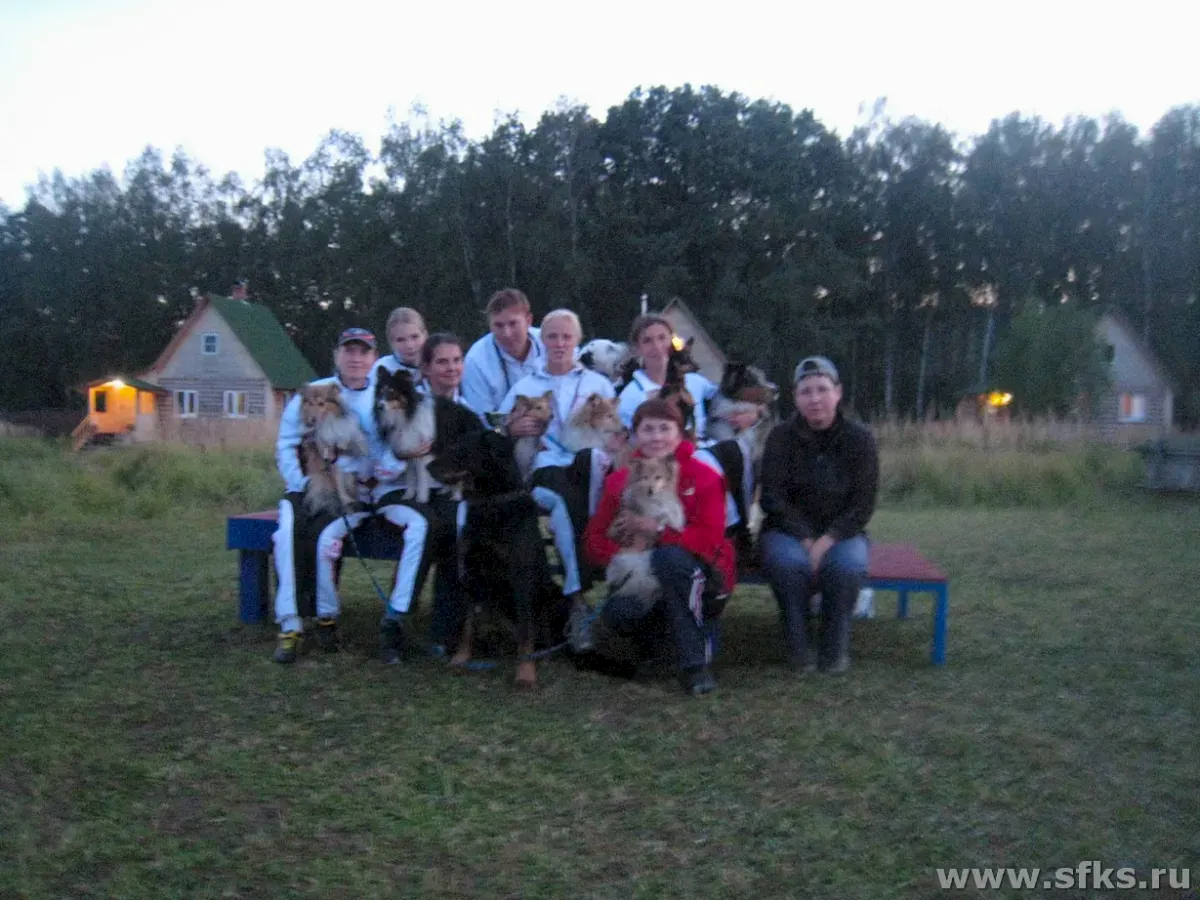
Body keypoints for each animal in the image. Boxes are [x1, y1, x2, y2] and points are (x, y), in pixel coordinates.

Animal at [298, 382, 371, 518]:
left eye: (321, 403)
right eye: (309, 403)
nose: (312, 419)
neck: (327, 421)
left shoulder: (348, 433)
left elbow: (352, 439)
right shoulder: (328, 455)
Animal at [375, 368, 437, 504]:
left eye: (392, 392)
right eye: (380, 392)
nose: (379, 406)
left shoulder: (422, 452)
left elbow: (421, 477)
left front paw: (421, 498)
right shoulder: (408, 452)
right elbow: (410, 477)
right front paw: (408, 495)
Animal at [427, 429, 568, 688]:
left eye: (459, 448)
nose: (428, 466)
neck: (490, 501)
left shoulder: (520, 575)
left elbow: (526, 629)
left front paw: (525, 674)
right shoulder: (471, 571)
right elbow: (468, 625)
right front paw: (460, 659)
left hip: (557, 597)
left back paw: (543, 656)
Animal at [605, 455, 686, 612]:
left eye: (658, 477)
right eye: (645, 477)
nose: (650, 490)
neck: (656, 500)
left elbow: (672, 513)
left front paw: (677, 525)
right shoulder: (648, 514)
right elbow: (661, 515)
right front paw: (663, 524)